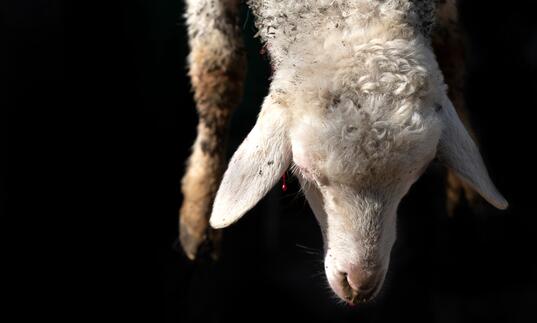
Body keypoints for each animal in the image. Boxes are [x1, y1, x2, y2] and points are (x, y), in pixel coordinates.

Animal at [179, 0, 506, 306]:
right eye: (306, 171)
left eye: (417, 175)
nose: (359, 284)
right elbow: (219, 71)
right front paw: (198, 212)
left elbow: (453, 51)